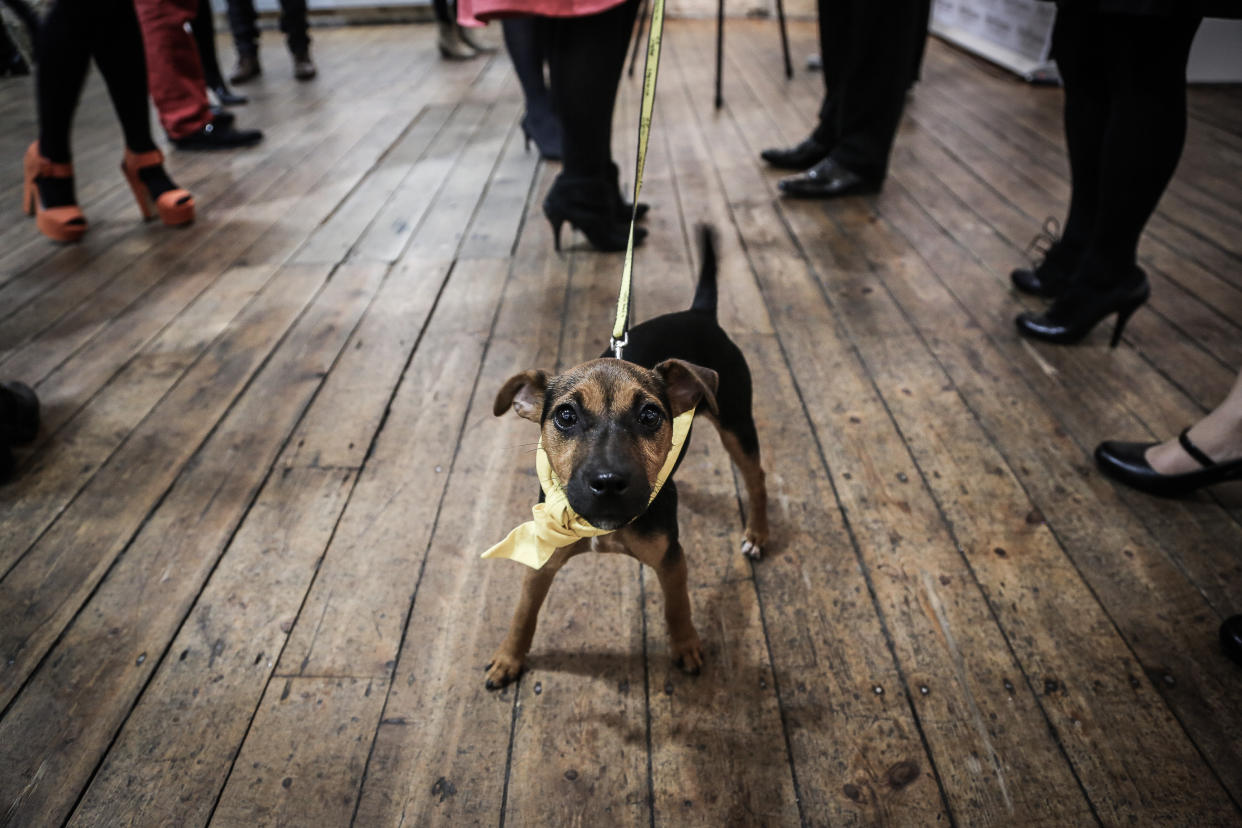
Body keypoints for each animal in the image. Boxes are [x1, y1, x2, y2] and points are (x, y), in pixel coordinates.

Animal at [486, 227, 765, 695]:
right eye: (565, 416)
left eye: (650, 415)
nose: (608, 482)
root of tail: (697, 313)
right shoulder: (541, 560)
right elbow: (523, 613)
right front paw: (508, 659)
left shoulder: (671, 559)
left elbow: (677, 605)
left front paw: (686, 646)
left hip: (736, 422)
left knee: (756, 475)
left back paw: (758, 534)